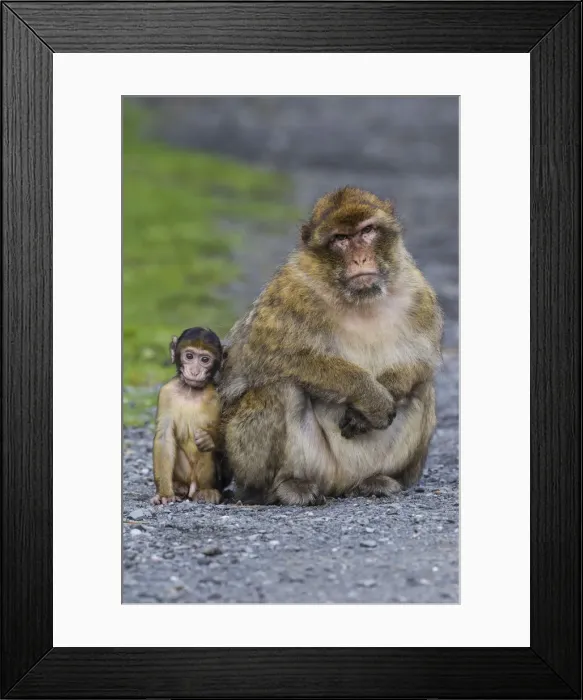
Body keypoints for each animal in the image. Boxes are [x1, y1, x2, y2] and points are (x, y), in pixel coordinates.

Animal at [151, 327, 227, 506]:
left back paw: (207, 491)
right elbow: (164, 437)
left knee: (207, 451)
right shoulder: (166, 393)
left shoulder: (219, 395)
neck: (191, 391)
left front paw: (209, 438)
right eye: (189, 356)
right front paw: (165, 494)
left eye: (205, 359)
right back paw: (179, 487)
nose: (194, 371)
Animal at [219, 186, 443, 506]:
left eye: (367, 231)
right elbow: (267, 360)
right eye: (341, 239)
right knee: (279, 386)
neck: (359, 299)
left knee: (422, 389)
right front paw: (370, 396)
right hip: (296, 465)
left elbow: (423, 360)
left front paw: (387, 389)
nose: (360, 259)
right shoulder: (289, 292)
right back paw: (284, 487)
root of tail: (341, 485)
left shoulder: (419, 292)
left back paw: (378, 480)